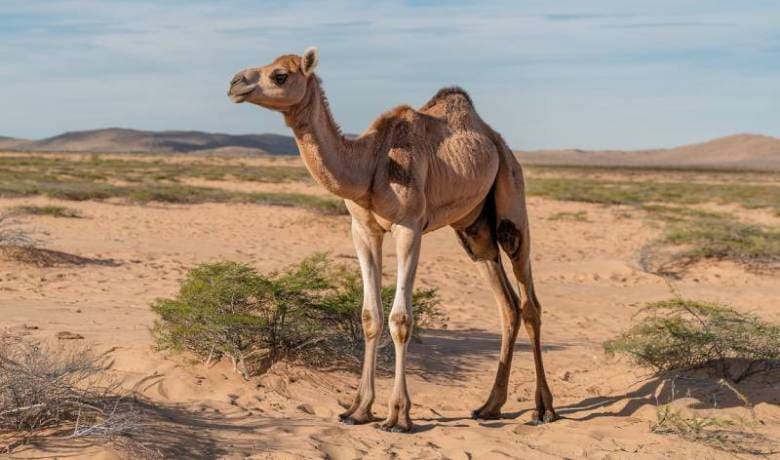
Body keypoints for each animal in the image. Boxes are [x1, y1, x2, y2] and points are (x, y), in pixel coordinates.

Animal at [225, 46, 556, 432]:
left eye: (280, 75)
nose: (235, 83)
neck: (370, 165)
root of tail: (496, 140)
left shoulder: (409, 228)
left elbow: (400, 320)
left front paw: (398, 416)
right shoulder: (362, 230)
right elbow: (371, 316)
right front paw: (357, 410)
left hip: (511, 199)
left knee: (529, 302)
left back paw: (544, 409)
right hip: (474, 231)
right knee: (507, 305)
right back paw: (489, 407)